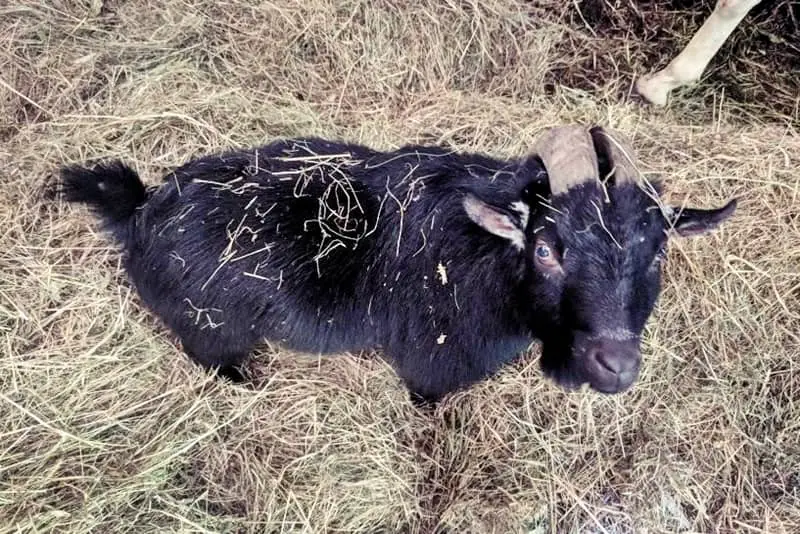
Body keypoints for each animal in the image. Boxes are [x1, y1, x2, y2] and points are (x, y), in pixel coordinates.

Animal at [59, 125, 736, 402]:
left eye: (658, 252)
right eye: (546, 249)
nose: (615, 366)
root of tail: (139, 208)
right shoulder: (430, 368)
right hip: (210, 331)